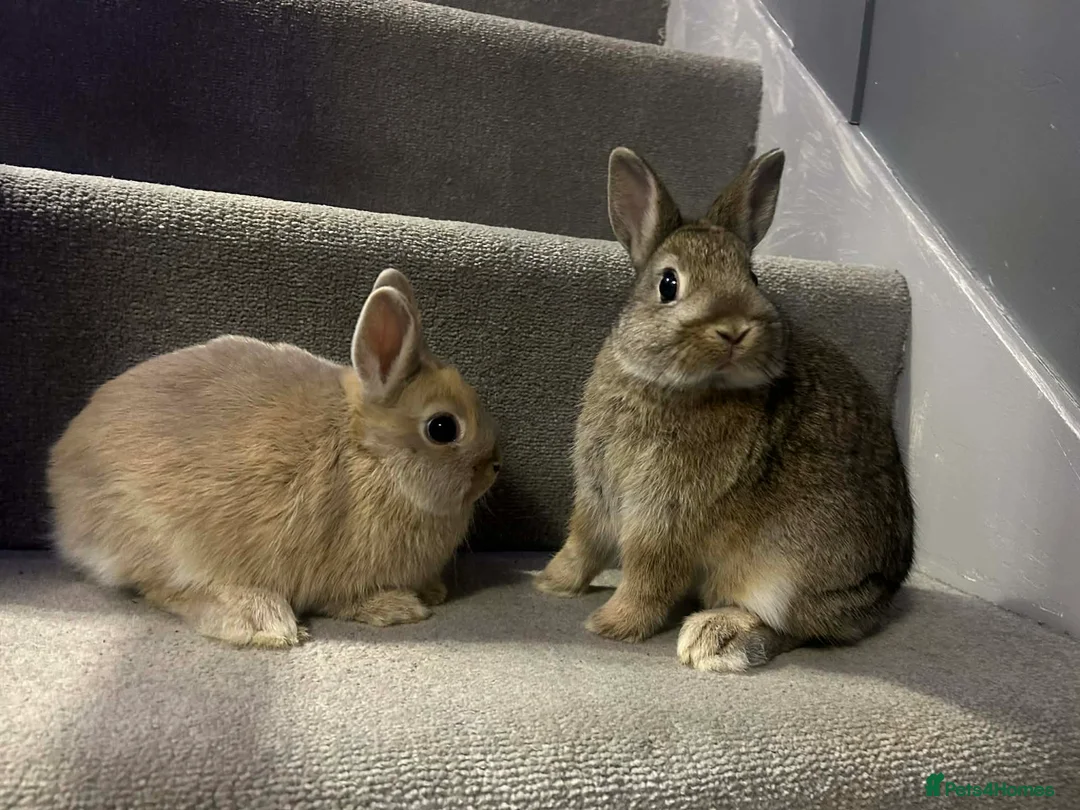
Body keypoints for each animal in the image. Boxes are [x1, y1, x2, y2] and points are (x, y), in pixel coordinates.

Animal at [48, 268, 500, 647]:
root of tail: (60, 478)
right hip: (167, 538)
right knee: (167, 588)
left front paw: (432, 590)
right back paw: (260, 621)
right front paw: (398, 607)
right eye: (442, 428)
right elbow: (346, 601)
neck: (372, 455)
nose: (494, 466)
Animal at [535, 147, 914, 672]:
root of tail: (879, 601)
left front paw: (610, 625)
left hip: (786, 573)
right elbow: (583, 543)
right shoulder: (597, 494)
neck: (671, 387)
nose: (735, 328)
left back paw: (716, 639)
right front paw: (550, 583)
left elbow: (648, 575)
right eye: (668, 284)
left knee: (796, 628)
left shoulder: (666, 516)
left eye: (752, 278)